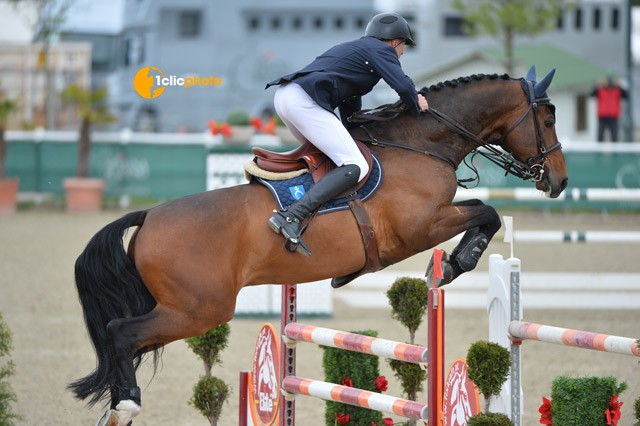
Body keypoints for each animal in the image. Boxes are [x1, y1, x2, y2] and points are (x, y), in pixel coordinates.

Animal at [71, 66, 568, 426]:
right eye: (547, 119)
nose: (559, 181)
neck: (420, 144)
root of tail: (149, 217)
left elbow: (484, 210)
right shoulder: (422, 227)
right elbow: (487, 212)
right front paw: (454, 263)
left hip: (186, 308)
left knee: (124, 339)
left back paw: (117, 404)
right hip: (199, 309)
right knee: (120, 332)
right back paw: (126, 404)